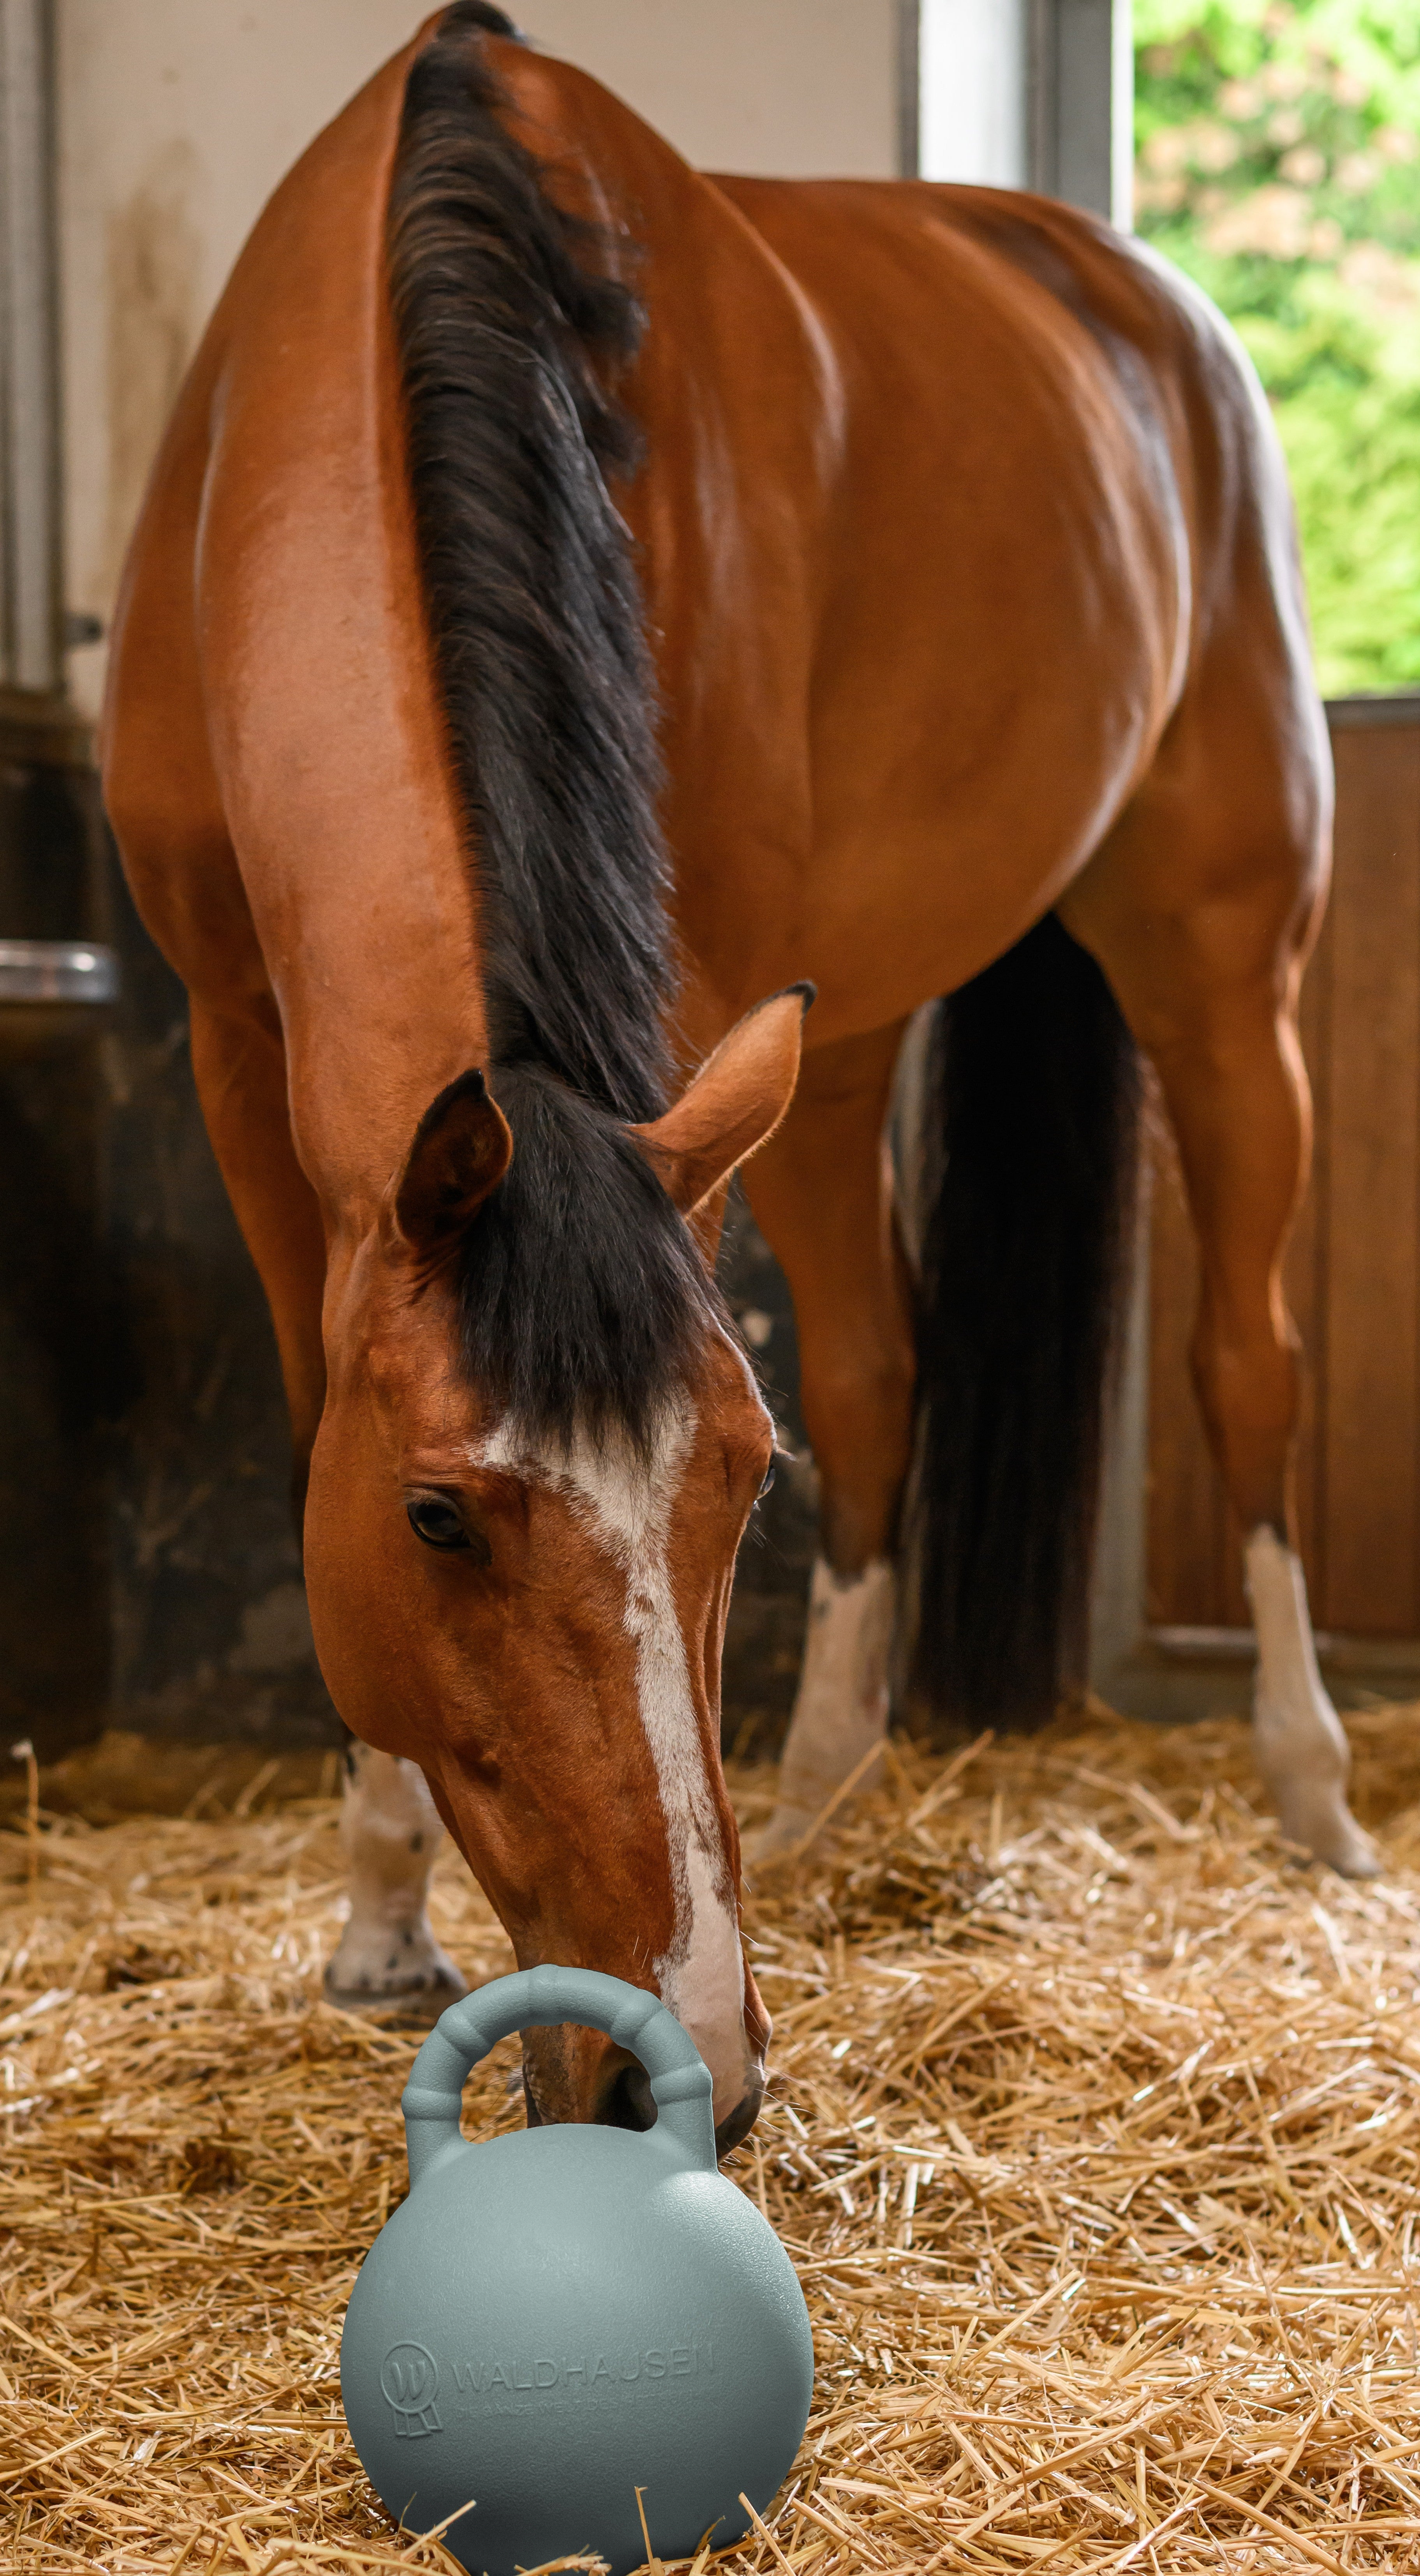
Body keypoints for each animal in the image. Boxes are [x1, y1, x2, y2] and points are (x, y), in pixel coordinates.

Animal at [101, 1, 1377, 2153]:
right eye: (434, 1517)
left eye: (725, 1482)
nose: (672, 2056)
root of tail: (1133, 292)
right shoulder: (234, 1044)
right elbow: (306, 1423)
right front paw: (374, 1913)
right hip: (831, 1046)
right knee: (878, 1366)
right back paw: (819, 1792)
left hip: (1221, 966)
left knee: (1246, 1366)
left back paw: (1310, 1788)